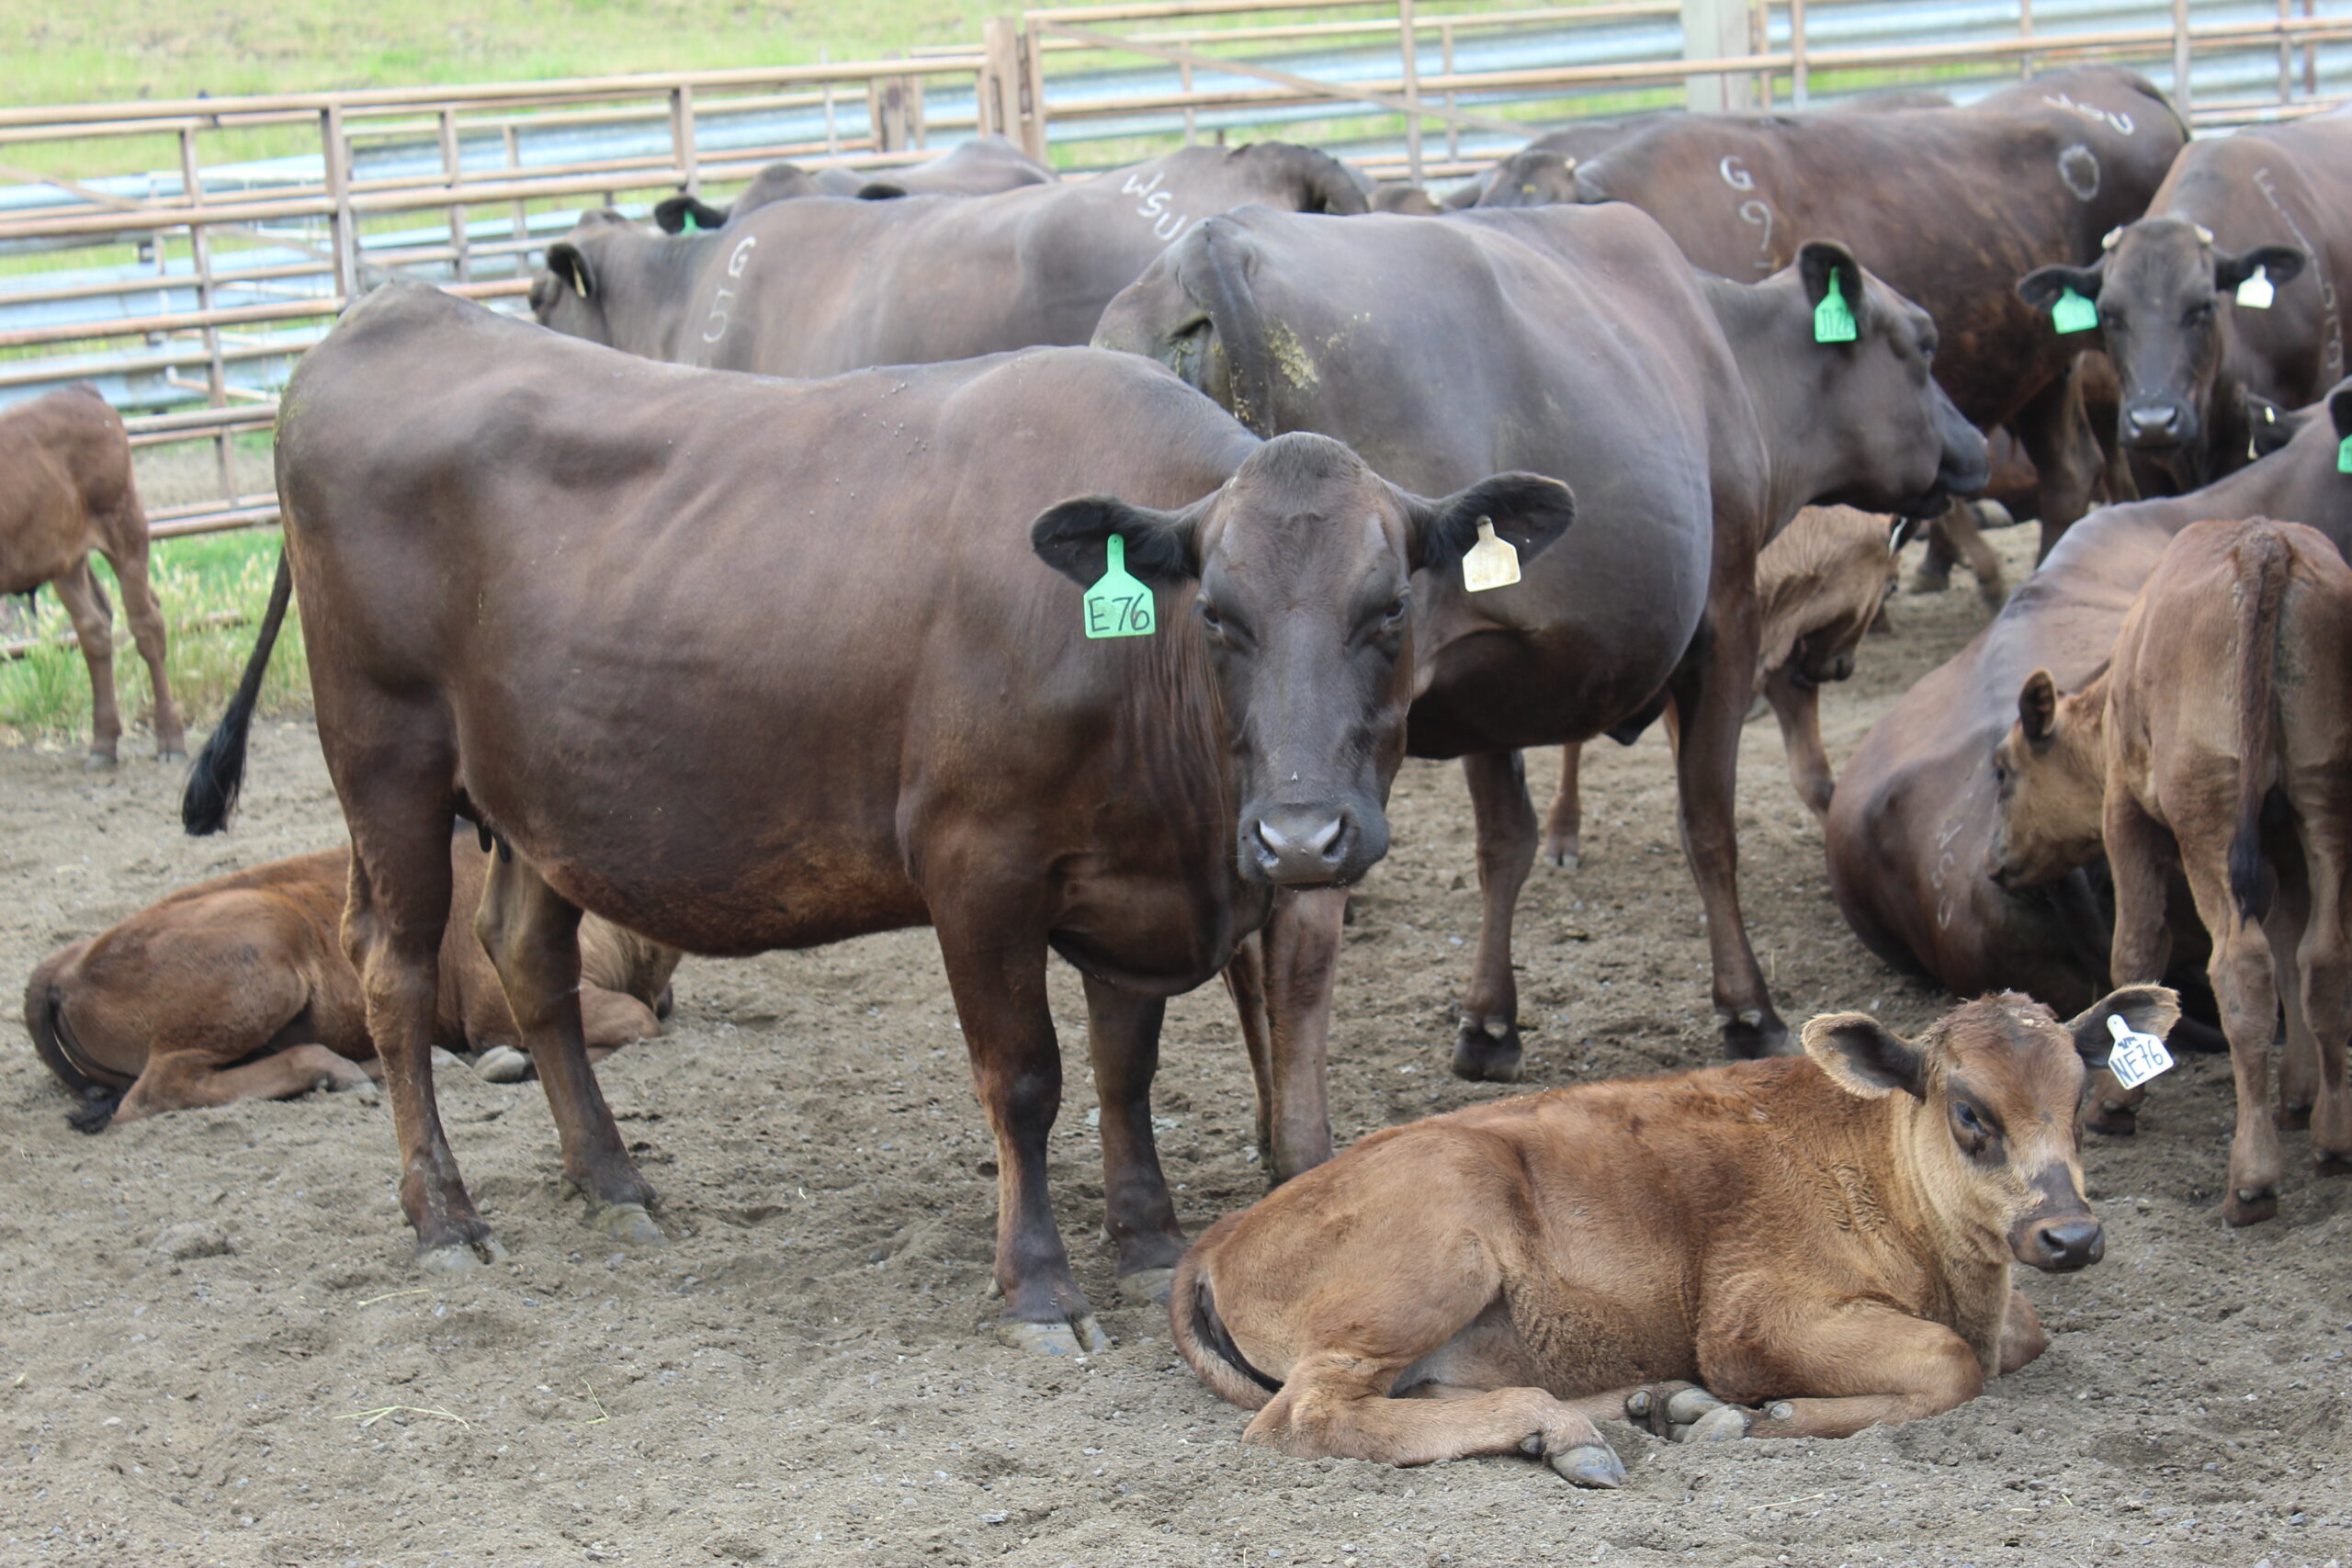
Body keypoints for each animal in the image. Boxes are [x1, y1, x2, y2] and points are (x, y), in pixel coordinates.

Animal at [0, 385, 183, 767]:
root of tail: (78, 391)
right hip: (65, 557)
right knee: (94, 628)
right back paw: (103, 742)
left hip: (124, 527)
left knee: (146, 626)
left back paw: (170, 739)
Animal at [26, 836, 678, 1131]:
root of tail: (68, 960)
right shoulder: (500, 1005)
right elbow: (636, 1020)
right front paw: (507, 1062)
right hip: (267, 952)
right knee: (157, 1089)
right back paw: (330, 1070)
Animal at [178, 282, 1574, 1354]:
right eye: (1219, 617)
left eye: (1388, 608)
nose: (1299, 839)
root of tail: (394, 312)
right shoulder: (978, 864)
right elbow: (1028, 1078)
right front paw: (1042, 1286)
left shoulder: (1131, 876)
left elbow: (1124, 1067)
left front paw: (1148, 1237)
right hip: (388, 763)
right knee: (397, 971)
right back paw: (446, 1216)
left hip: (538, 800)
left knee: (527, 955)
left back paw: (614, 1181)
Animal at [1169, 985, 2175, 1486]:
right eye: (1970, 1112)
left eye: (2079, 1099)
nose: (2070, 1236)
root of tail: (1216, 1238)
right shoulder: (1749, 1321)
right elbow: (1950, 1362)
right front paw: (1742, 1416)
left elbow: (2014, 1339)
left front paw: (1697, 1410)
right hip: (1437, 1256)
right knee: (1308, 1412)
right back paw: (1571, 1433)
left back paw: (1632, 1407)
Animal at [1986, 517, 2352, 1224]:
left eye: (2002, 771)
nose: (1993, 865)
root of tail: (2264, 544)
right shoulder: (2286, 846)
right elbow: (2294, 957)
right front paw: (2297, 1095)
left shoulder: (2126, 819)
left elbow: (2135, 951)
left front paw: (2113, 1103)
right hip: (2324, 798)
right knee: (2322, 959)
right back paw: (2333, 1138)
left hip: (2206, 818)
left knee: (2241, 968)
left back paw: (2252, 1180)